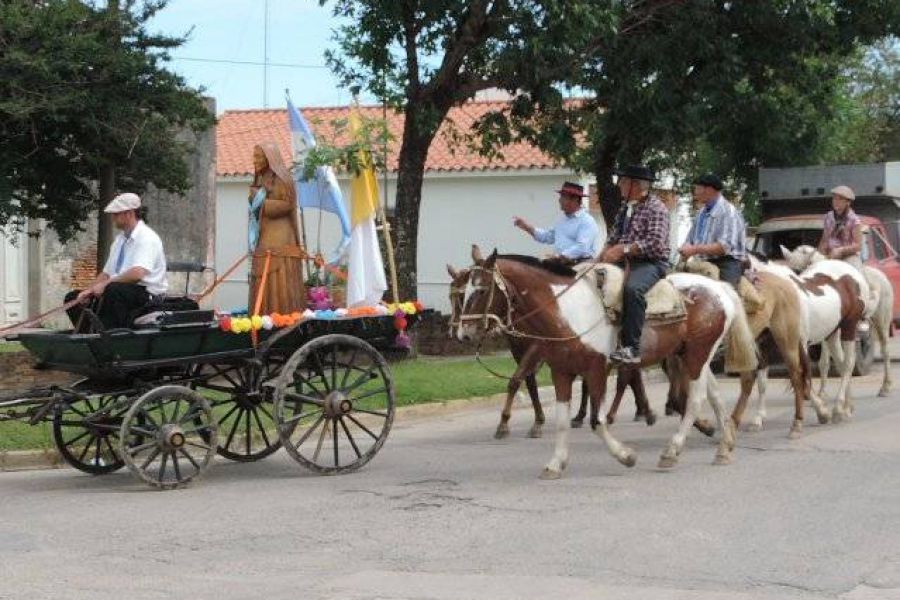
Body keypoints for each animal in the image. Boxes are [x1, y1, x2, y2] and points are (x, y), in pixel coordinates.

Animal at [454, 250, 756, 478]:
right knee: (714, 395)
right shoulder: (561, 372)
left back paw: (672, 452)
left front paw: (626, 456)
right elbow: (562, 421)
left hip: (697, 354)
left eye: (481, 289)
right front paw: (555, 464)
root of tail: (718, 288)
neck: (567, 312)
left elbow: (597, 421)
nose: (464, 334)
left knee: (695, 400)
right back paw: (723, 448)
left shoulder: (597, 370)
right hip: (692, 355)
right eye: (462, 291)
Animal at [780, 244, 892, 398]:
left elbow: (830, 360)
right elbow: (827, 362)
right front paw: (824, 392)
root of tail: (882, 276)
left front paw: (825, 393)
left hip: (882, 320)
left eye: (799, 270)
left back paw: (885, 387)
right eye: (791, 269)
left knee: (885, 350)